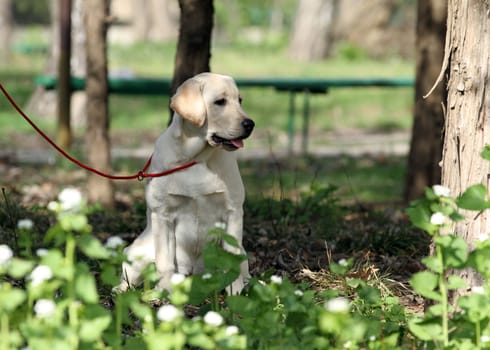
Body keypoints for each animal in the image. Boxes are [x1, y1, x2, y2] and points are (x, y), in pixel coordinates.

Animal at [116, 72, 253, 294]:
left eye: (239, 100)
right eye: (220, 102)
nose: (250, 124)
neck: (196, 157)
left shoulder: (233, 212)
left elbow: (230, 260)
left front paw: (236, 291)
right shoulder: (162, 215)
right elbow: (164, 262)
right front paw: (164, 291)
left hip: (243, 251)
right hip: (137, 251)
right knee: (131, 277)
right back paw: (121, 290)